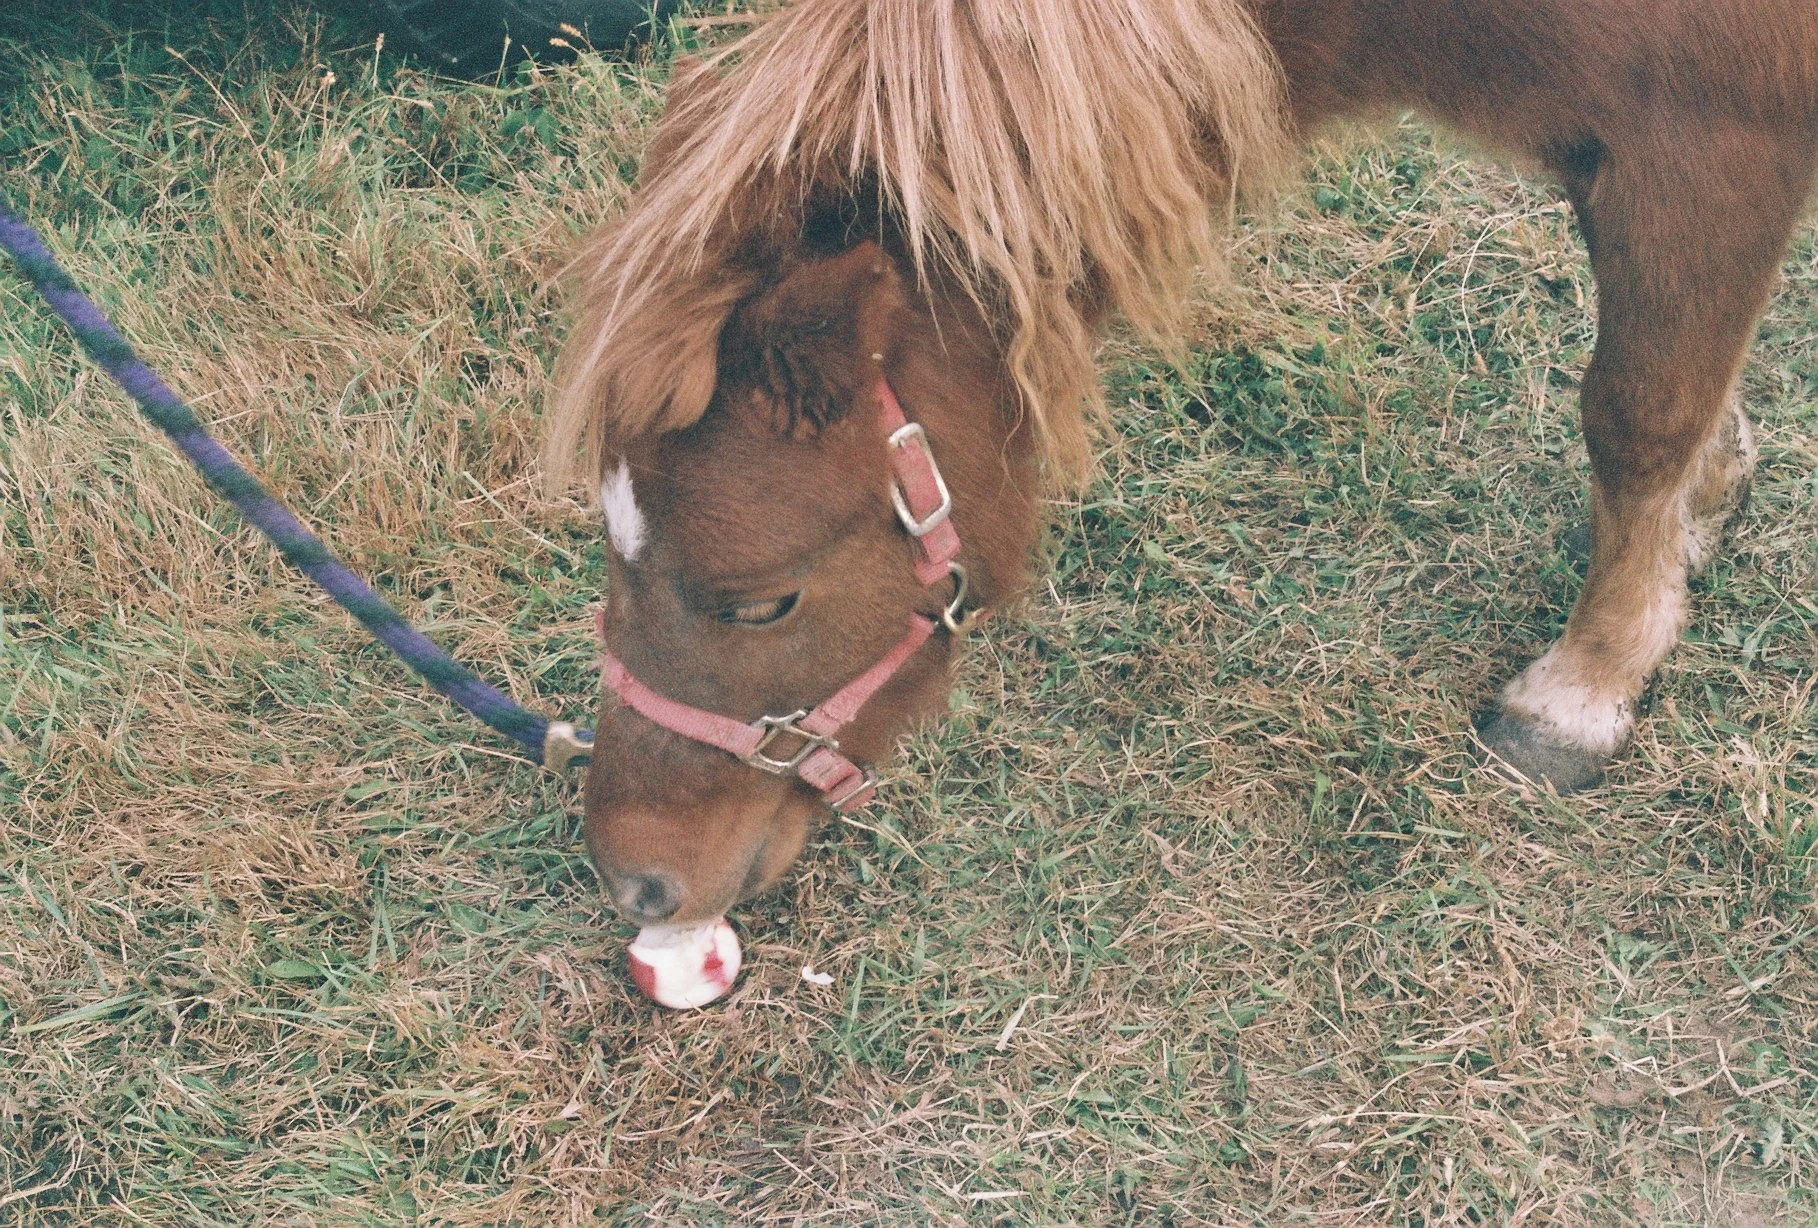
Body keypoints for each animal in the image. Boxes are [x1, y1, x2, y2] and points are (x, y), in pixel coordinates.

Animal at [545, 0, 1818, 928]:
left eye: (763, 601)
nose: (632, 877)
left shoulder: (1708, 141)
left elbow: (1638, 411)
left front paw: (1587, 684)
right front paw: (1708, 506)